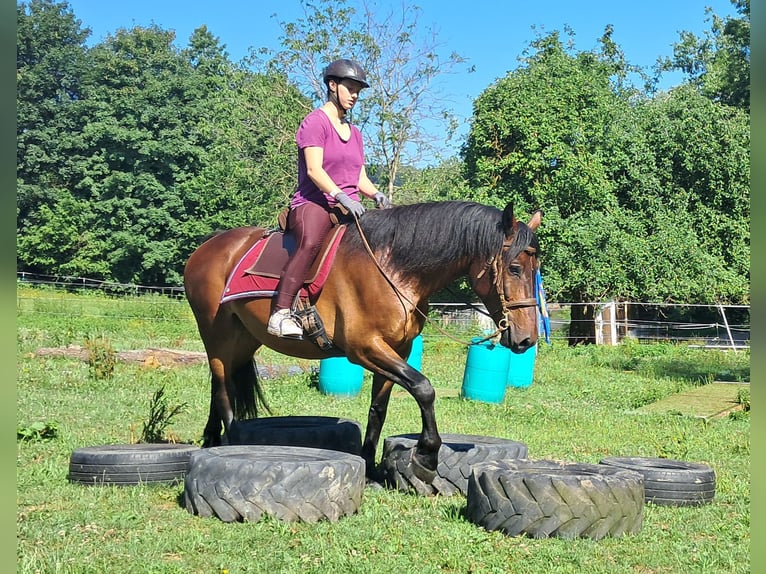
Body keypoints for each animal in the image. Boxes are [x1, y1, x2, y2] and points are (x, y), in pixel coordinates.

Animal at [183, 200, 541, 483]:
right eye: (514, 268)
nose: (527, 339)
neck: (393, 268)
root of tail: (207, 248)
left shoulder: (397, 350)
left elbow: (378, 409)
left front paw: (370, 465)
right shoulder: (364, 348)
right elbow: (424, 388)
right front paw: (426, 455)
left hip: (244, 339)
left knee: (220, 384)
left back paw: (212, 438)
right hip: (216, 335)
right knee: (223, 389)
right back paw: (232, 442)